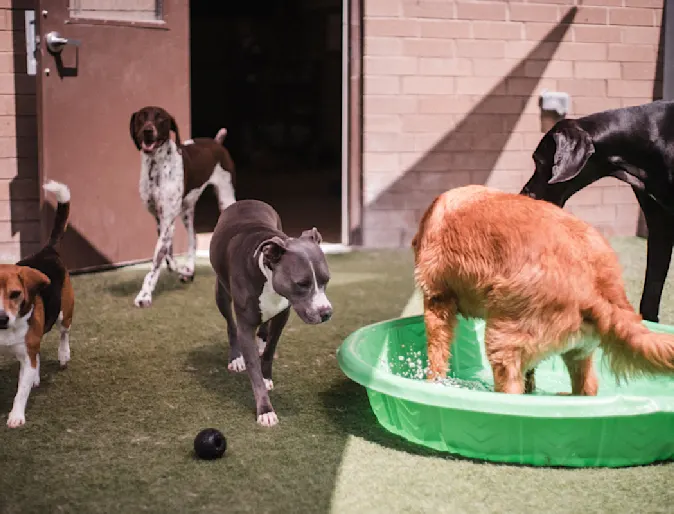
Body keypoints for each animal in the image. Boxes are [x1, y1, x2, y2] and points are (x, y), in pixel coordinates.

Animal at [129, 104, 236, 304]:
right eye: (141, 117)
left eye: (160, 118)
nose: (148, 131)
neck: (156, 166)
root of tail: (217, 142)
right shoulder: (161, 221)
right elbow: (167, 258)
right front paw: (184, 271)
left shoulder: (167, 221)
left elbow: (157, 262)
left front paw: (144, 295)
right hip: (186, 211)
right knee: (193, 238)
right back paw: (189, 268)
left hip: (226, 199)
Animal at [209, 197, 332, 424]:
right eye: (301, 284)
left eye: (326, 280)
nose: (326, 312)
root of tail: (245, 201)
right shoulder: (245, 327)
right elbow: (253, 370)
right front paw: (265, 410)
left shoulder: (283, 315)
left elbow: (269, 351)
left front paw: (266, 375)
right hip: (221, 293)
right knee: (230, 324)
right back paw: (235, 358)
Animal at [410, 184, 672, 392]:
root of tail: (596, 284)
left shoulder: (437, 299)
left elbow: (436, 354)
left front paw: (433, 383)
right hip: (578, 350)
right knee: (587, 387)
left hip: (502, 343)